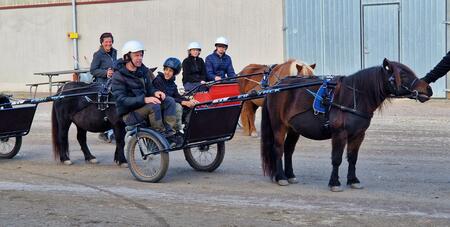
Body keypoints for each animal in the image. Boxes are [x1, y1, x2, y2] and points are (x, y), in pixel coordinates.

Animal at [260, 58, 432, 192]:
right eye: (402, 74)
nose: (428, 89)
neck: (354, 97)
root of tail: (276, 86)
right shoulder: (339, 134)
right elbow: (337, 159)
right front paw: (334, 183)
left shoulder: (358, 135)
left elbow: (352, 158)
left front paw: (353, 180)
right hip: (279, 126)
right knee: (278, 149)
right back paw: (281, 177)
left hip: (294, 129)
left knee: (288, 150)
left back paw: (290, 175)